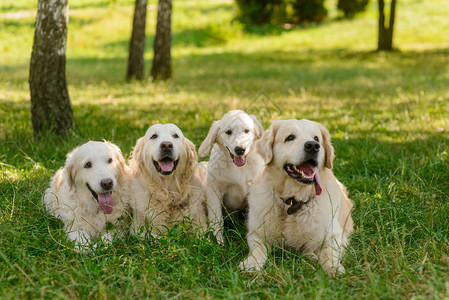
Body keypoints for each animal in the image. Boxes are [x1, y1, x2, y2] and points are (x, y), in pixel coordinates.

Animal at [238, 118, 354, 276]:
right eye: (290, 137)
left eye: (316, 138)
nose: (313, 146)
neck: (293, 200)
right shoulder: (256, 233)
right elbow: (258, 249)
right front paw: (252, 263)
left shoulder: (336, 234)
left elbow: (329, 251)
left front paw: (332, 267)